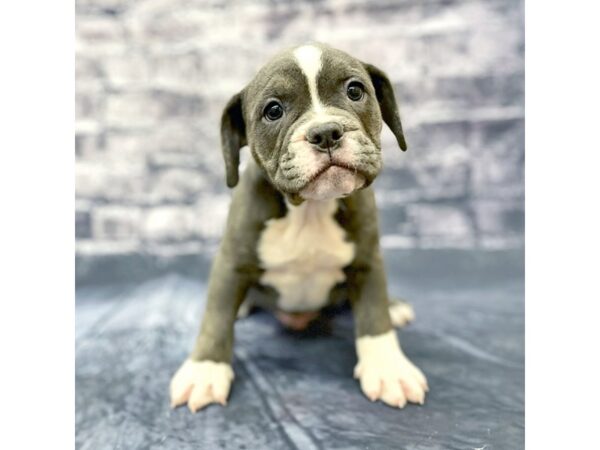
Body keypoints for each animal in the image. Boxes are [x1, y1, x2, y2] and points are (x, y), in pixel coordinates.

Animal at [171, 42, 428, 412]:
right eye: (273, 110)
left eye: (354, 91)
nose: (325, 132)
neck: (309, 209)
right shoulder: (232, 262)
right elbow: (216, 317)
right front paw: (205, 370)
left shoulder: (367, 261)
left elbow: (373, 313)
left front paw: (388, 368)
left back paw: (396, 307)